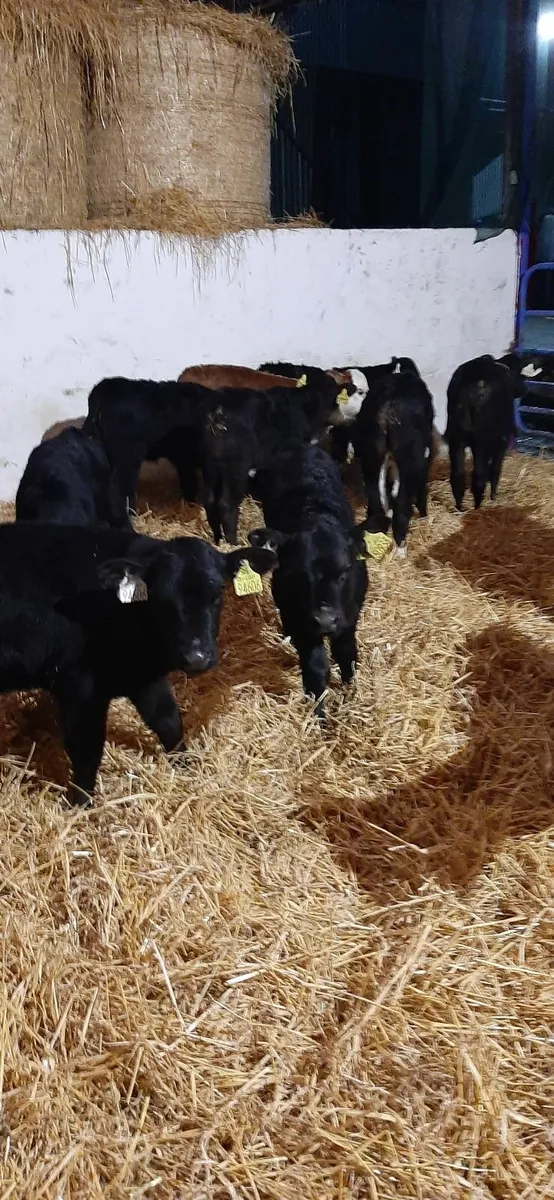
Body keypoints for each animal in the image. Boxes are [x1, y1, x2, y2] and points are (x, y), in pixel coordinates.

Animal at [0, 521, 275, 804]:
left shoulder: (142, 675)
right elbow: (86, 748)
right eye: (160, 596)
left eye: (218, 591)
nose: (196, 657)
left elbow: (168, 721)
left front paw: (184, 765)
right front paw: (81, 803)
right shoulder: (78, 684)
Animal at [248, 442, 369, 716]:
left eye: (346, 570)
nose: (324, 620)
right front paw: (319, 717)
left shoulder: (349, 616)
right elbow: (315, 669)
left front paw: (351, 693)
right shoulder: (299, 619)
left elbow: (346, 654)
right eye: (297, 573)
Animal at [446, 354, 518, 511]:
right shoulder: (501, 441)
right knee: (479, 477)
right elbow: (495, 469)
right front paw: (493, 497)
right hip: (480, 441)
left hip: (456, 437)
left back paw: (460, 507)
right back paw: (477, 508)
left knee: (457, 475)